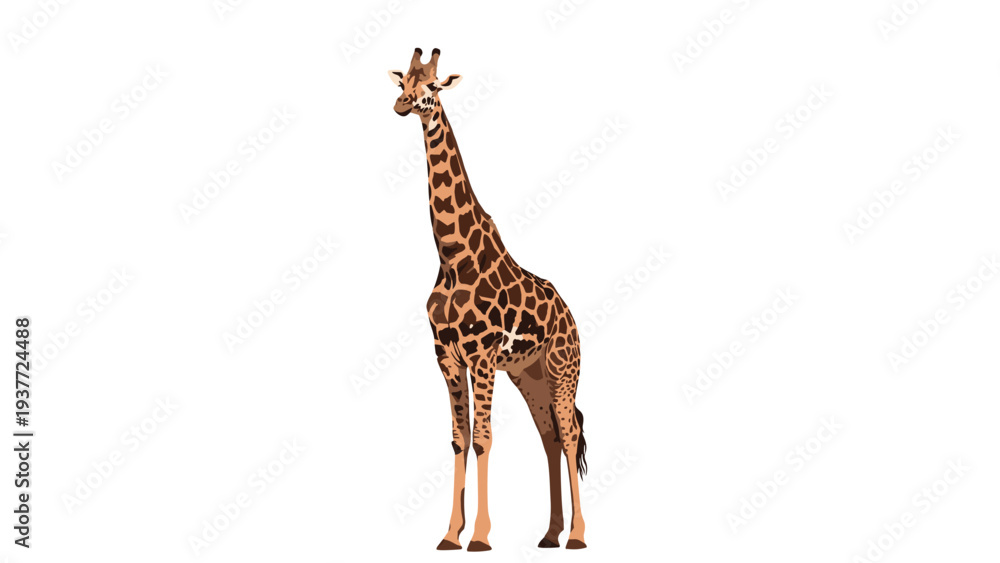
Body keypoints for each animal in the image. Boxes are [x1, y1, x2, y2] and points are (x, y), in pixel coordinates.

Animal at [389, 48, 588, 551]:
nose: (403, 105)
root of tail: (571, 316)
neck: (452, 256)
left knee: (570, 433)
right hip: (528, 373)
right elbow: (459, 438)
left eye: (432, 86)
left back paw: (577, 535)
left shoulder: (480, 355)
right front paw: (448, 535)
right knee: (549, 436)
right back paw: (549, 534)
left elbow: (483, 438)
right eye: (402, 83)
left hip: (562, 369)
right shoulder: (446, 354)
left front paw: (479, 537)